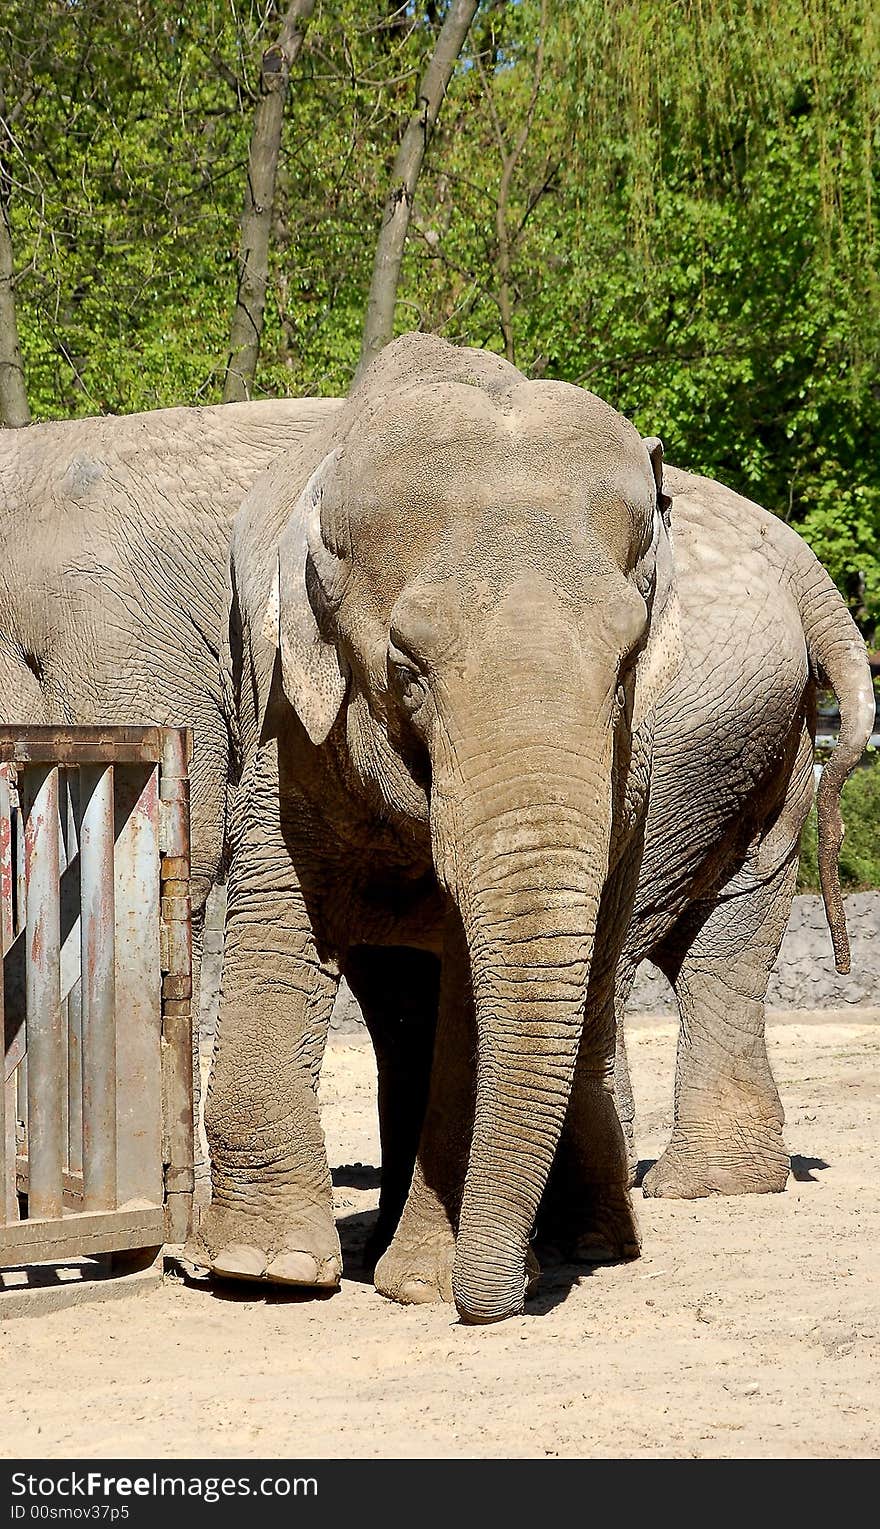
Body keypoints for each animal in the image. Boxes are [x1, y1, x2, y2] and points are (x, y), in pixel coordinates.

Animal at [189, 334, 867, 1327]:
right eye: (407, 666)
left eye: (629, 660)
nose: (494, 1299)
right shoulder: (287, 709)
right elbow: (282, 916)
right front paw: (264, 1271)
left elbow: (474, 986)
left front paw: (425, 1283)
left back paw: (599, 1236)